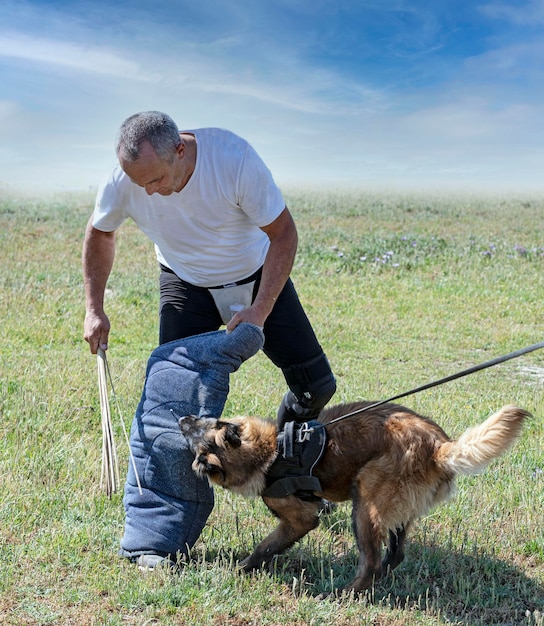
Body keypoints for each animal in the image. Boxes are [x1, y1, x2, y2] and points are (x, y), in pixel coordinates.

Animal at [178, 402, 528, 592]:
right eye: (204, 420)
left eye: (198, 430)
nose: (181, 417)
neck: (270, 451)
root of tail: (439, 448)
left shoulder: (299, 520)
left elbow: (265, 547)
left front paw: (240, 569)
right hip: (395, 511)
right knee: (395, 554)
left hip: (366, 505)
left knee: (370, 562)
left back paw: (343, 593)